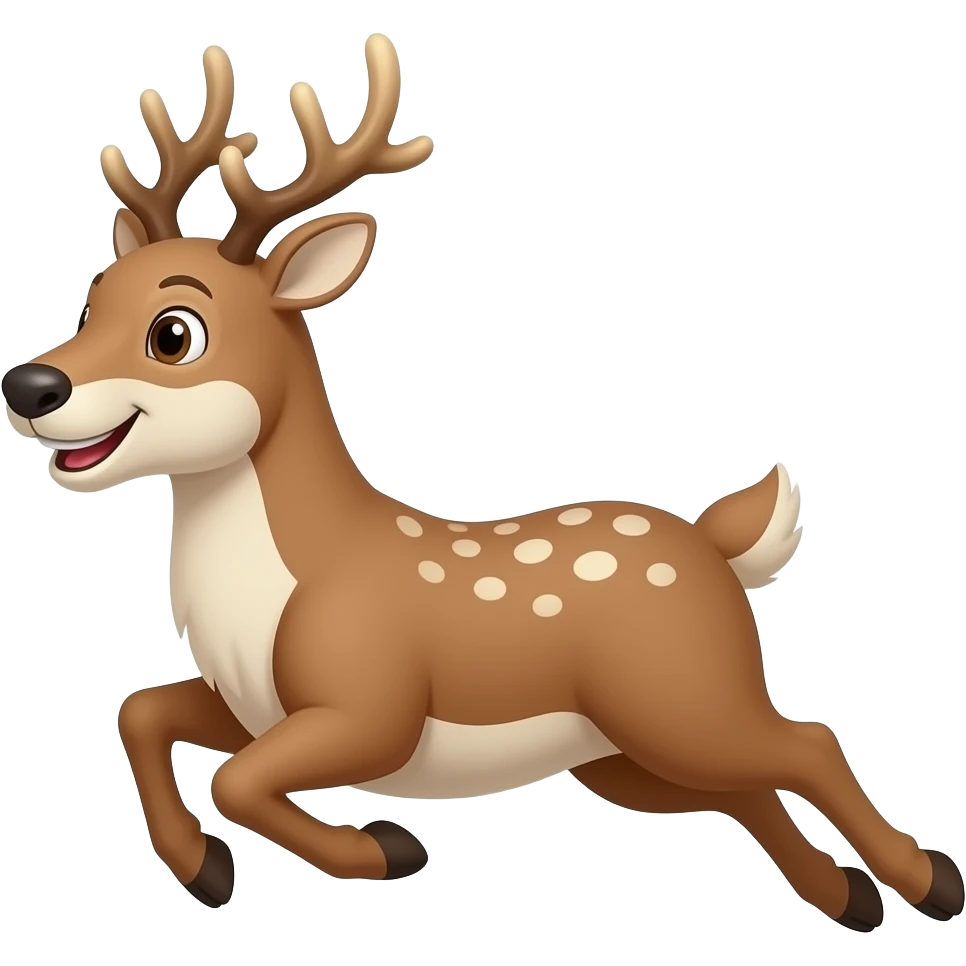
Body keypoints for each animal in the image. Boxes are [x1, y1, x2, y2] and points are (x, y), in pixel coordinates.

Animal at [2, 35, 963, 929]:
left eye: (174, 332)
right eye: (91, 299)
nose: (30, 385)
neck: (277, 584)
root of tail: (713, 545)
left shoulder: (369, 703)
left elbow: (237, 780)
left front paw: (384, 846)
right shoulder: (255, 707)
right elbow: (143, 712)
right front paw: (204, 868)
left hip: (685, 693)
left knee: (811, 741)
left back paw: (930, 882)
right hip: (626, 755)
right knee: (750, 790)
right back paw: (848, 896)